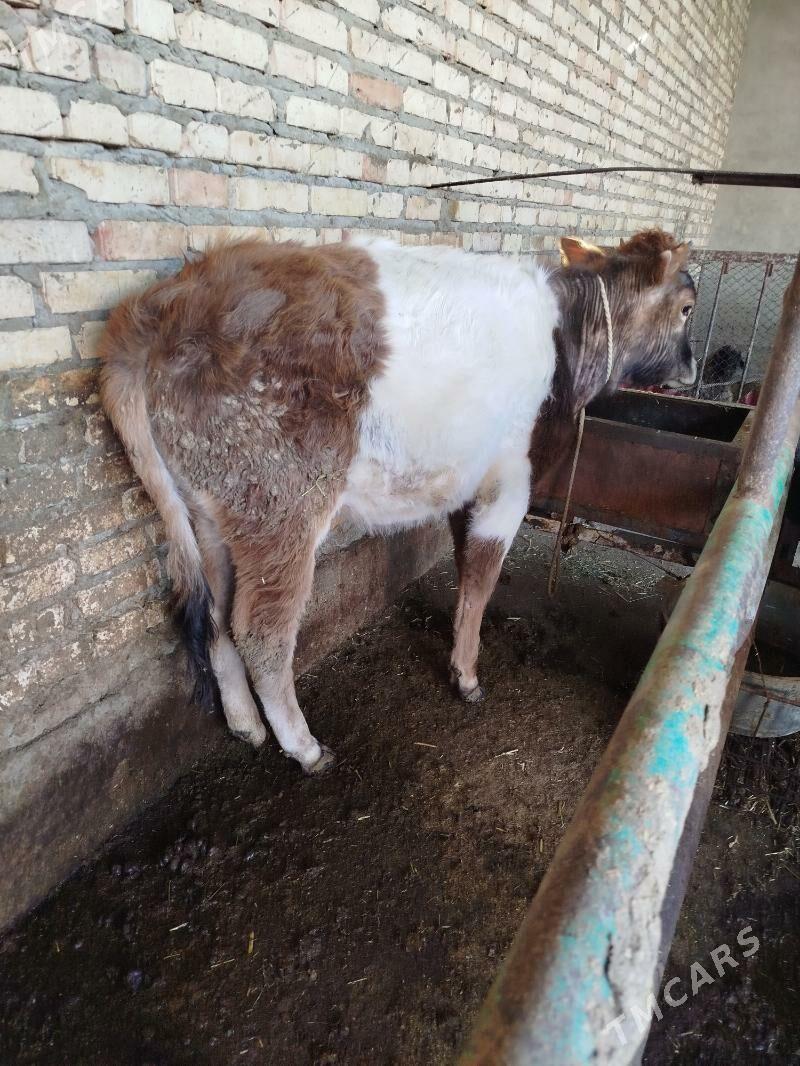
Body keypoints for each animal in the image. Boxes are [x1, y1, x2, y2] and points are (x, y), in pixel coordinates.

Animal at [99, 228, 697, 774]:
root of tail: (164, 306)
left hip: (211, 509)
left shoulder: (466, 483)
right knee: (261, 631)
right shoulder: (512, 479)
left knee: (217, 616)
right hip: (280, 503)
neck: (569, 339)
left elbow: (465, 572)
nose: (696, 370)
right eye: (688, 307)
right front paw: (468, 677)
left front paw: (457, 660)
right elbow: (484, 576)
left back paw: (247, 725)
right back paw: (305, 747)